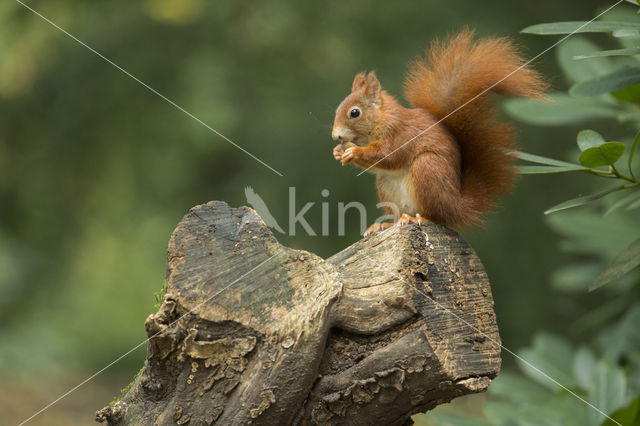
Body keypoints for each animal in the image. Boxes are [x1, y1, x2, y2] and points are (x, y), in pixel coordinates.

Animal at [332, 30, 548, 236]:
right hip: (387, 187)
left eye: (354, 113)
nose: (336, 136)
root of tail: (457, 206)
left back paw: (418, 219)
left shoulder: (400, 134)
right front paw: (337, 151)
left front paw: (354, 151)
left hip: (428, 169)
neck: (381, 120)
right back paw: (384, 224)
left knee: (437, 217)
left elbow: (389, 155)